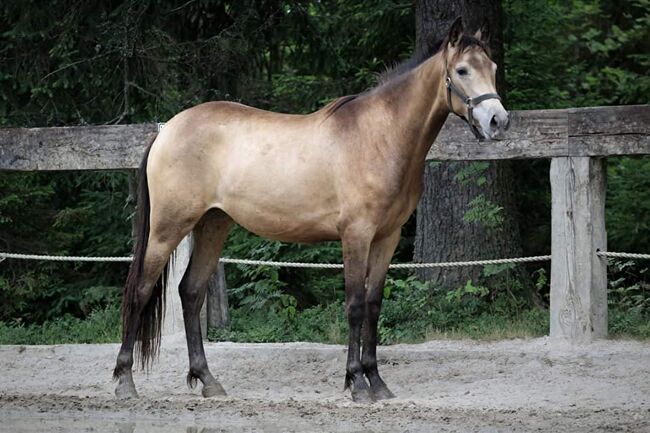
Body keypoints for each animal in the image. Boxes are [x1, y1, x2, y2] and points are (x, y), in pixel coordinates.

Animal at [111, 16, 506, 402]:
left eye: (493, 67)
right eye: (462, 70)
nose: (498, 122)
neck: (380, 136)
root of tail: (167, 130)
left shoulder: (387, 238)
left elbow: (374, 306)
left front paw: (378, 383)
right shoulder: (356, 235)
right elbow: (355, 305)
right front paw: (356, 384)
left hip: (213, 224)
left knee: (191, 293)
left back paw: (208, 381)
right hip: (169, 227)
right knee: (140, 290)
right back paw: (125, 382)